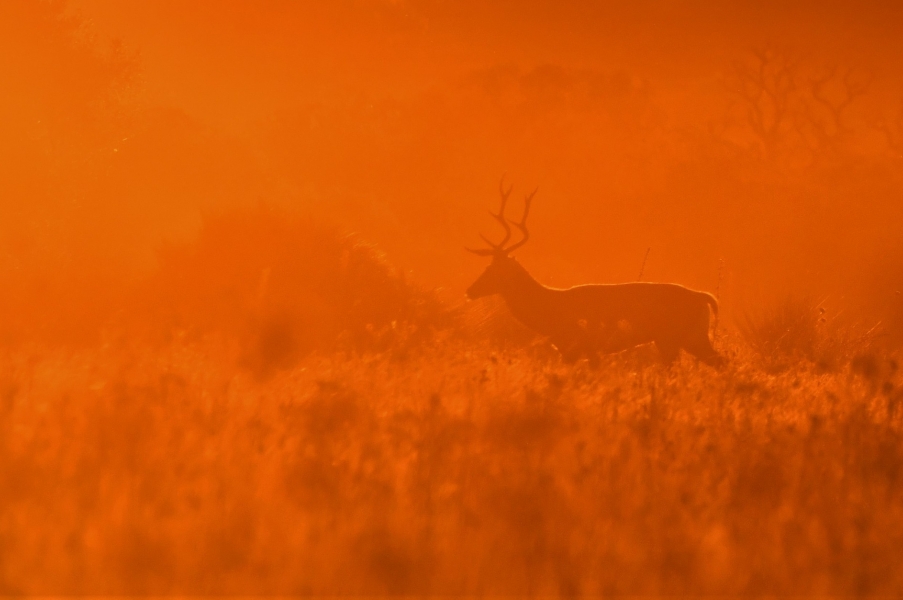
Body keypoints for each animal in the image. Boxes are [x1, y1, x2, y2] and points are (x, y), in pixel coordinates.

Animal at [470, 178, 724, 366]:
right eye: (487, 266)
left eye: (494, 269)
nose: (470, 290)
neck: (550, 308)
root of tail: (703, 297)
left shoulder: (580, 345)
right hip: (677, 340)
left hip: (686, 336)